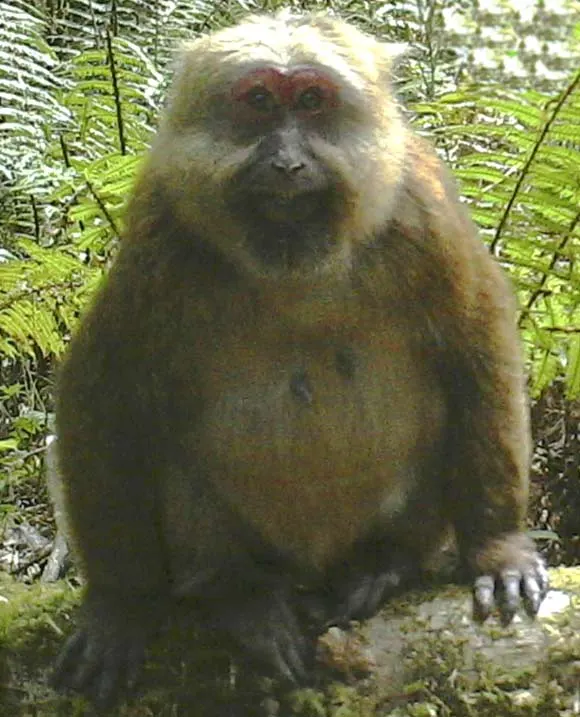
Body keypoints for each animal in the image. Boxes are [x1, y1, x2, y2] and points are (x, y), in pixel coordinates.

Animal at [51, 11, 548, 709]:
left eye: (312, 101)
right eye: (259, 101)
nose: (287, 163)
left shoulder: (423, 209)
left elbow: (477, 346)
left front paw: (498, 547)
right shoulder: (160, 227)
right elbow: (106, 390)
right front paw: (120, 604)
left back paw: (384, 562)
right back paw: (237, 592)